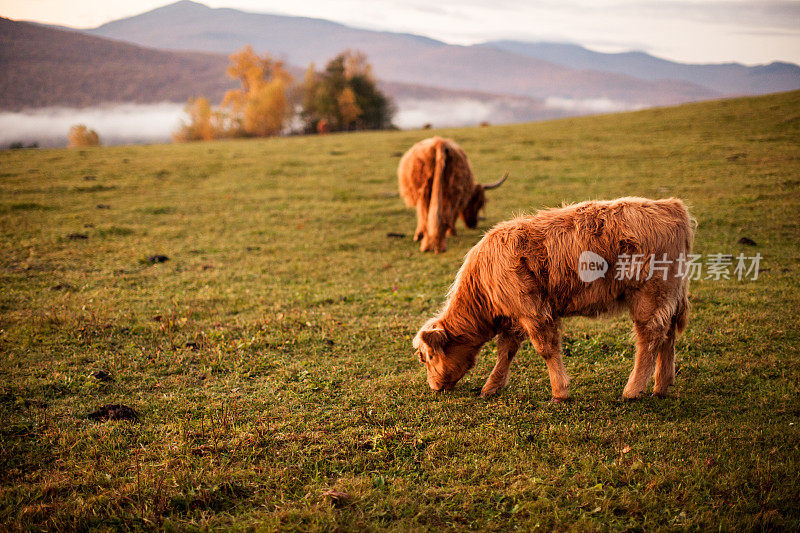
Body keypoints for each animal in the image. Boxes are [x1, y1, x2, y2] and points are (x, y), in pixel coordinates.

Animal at [412, 195, 692, 400]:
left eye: (428, 357)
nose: (434, 386)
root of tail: (670, 206)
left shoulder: (532, 311)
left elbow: (546, 349)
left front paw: (560, 391)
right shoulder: (515, 317)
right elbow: (506, 352)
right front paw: (491, 387)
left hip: (649, 295)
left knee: (649, 338)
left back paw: (632, 391)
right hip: (669, 296)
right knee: (667, 335)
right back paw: (661, 386)